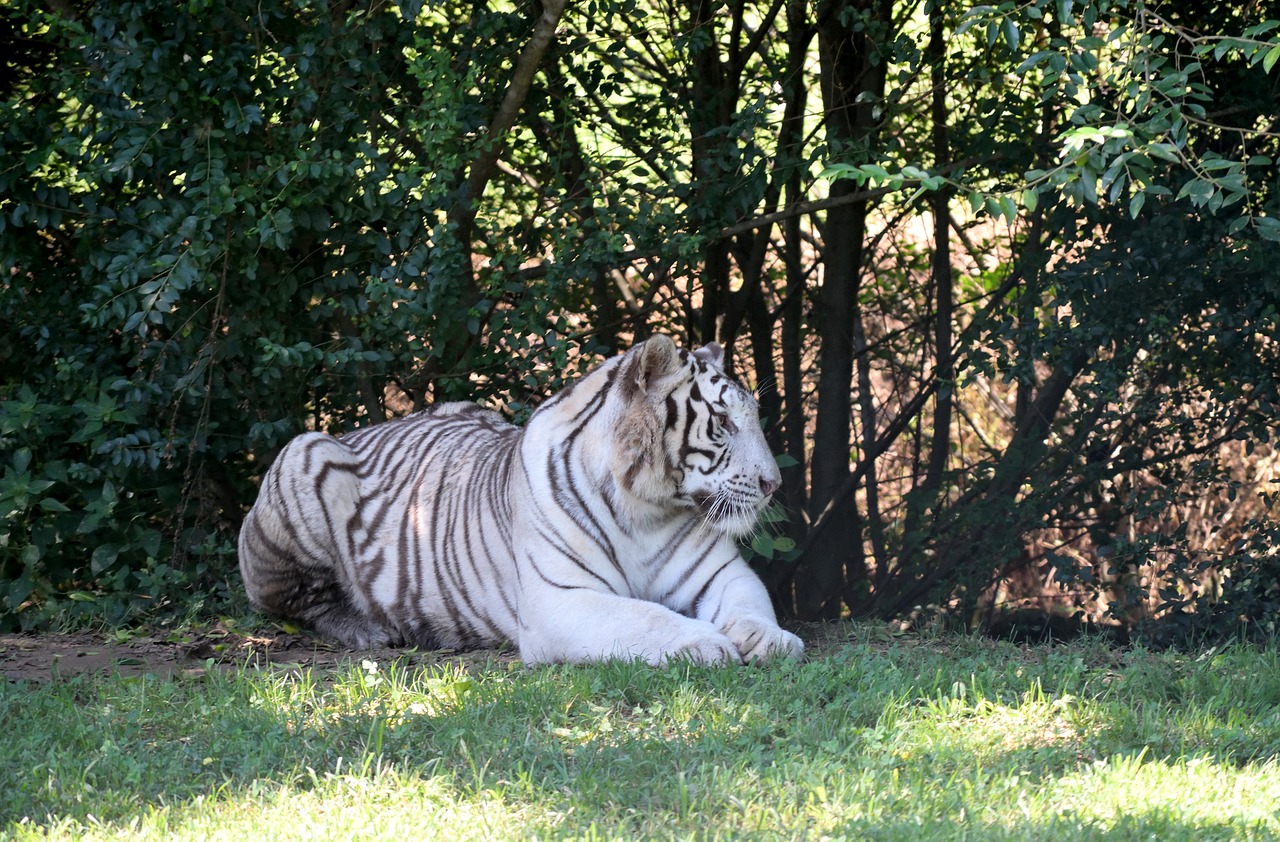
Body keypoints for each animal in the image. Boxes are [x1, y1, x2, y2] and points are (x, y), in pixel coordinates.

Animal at [235, 335, 803, 660]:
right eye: (724, 423)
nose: (774, 483)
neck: (647, 509)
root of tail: (364, 428)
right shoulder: (562, 600)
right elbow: (647, 619)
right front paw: (704, 643)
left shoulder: (722, 574)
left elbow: (751, 604)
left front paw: (768, 640)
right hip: (302, 456)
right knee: (295, 603)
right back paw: (368, 632)